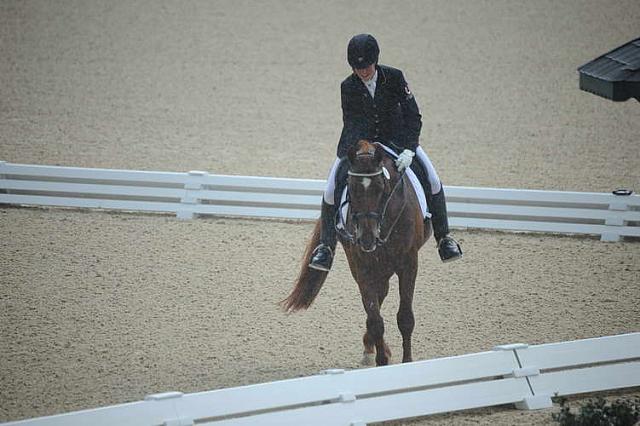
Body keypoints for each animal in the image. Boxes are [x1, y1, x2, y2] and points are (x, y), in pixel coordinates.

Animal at [282, 140, 432, 366]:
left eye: (381, 188)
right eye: (351, 188)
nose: (367, 238)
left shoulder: (409, 263)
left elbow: (405, 317)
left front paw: (407, 362)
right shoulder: (362, 266)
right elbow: (375, 318)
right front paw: (380, 360)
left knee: (382, 293)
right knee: (376, 299)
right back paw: (371, 347)